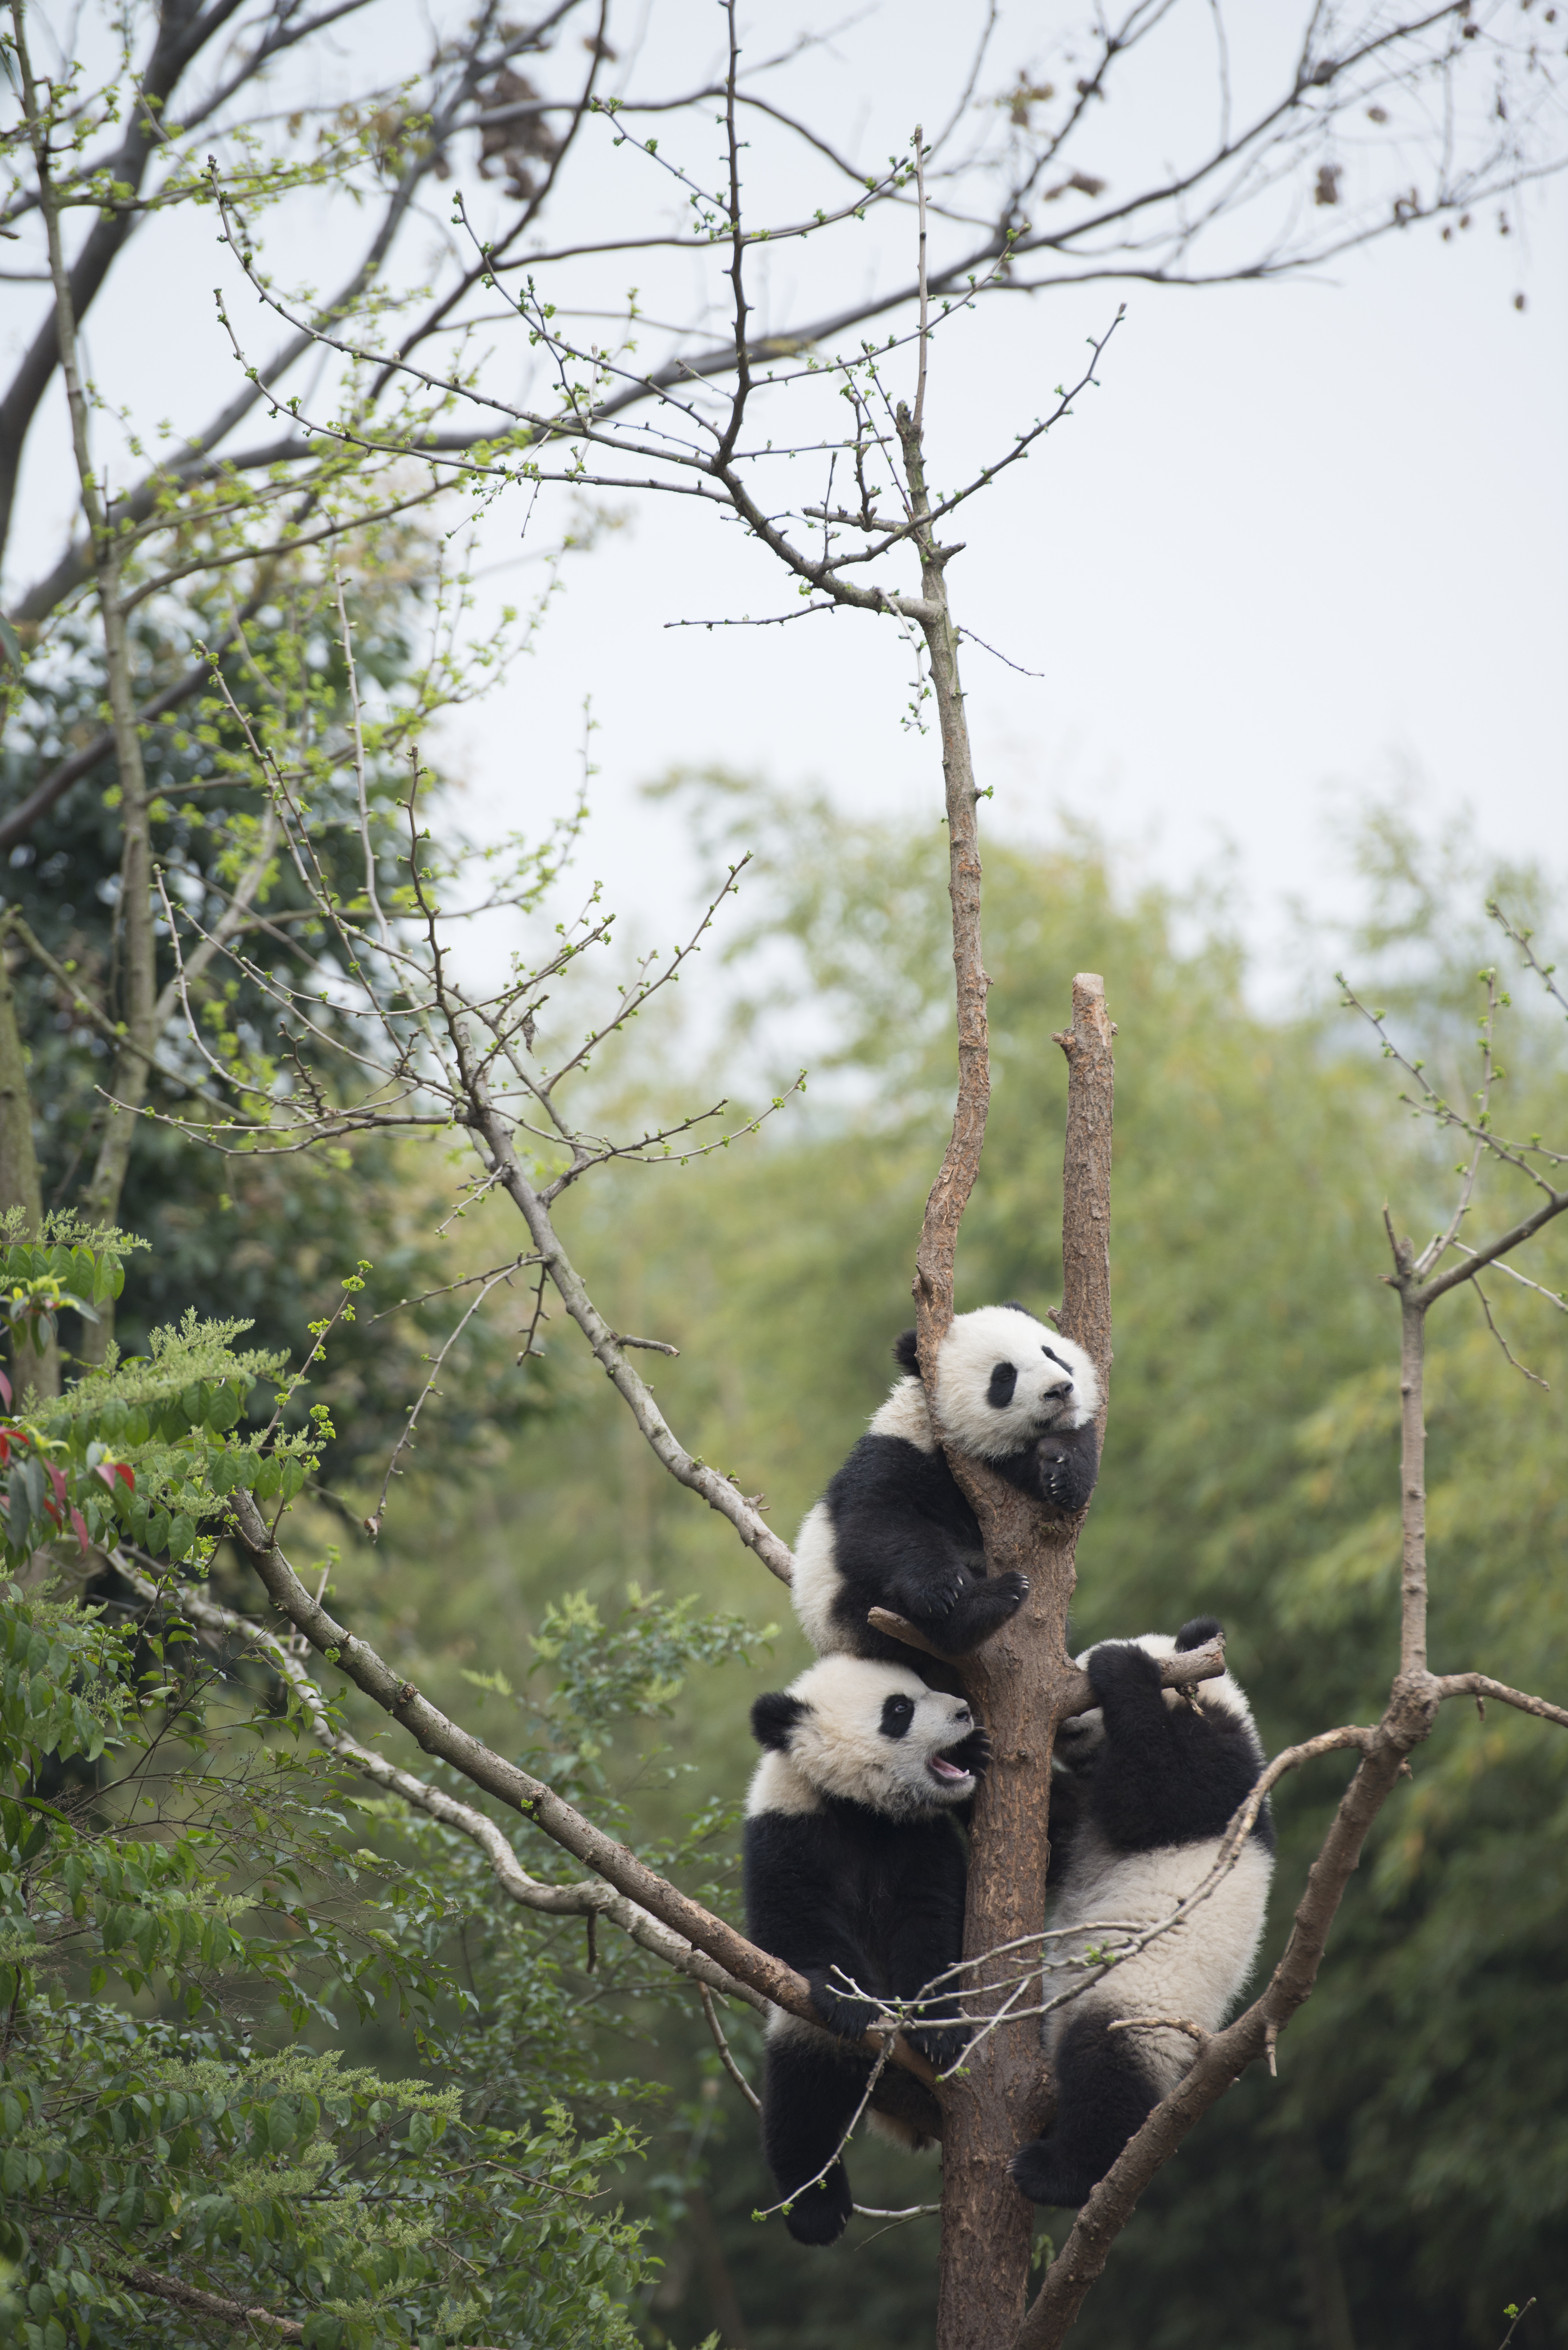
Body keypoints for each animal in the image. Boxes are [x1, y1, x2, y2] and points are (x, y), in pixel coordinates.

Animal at [744, 1654, 990, 2246]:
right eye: (898, 1710)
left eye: (927, 1686)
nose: (964, 1711)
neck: (860, 1807)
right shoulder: (787, 1825)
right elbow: (795, 1921)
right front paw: (853, 2001)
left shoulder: (919, 1836)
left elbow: (932, 1919)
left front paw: (937, 2030)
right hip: (806, 2036)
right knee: (800, 2104)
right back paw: (816, 2210)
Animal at [792, 1303, 1101, 1664]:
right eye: (1004, 1376)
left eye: (1051, 1353)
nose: (1060, 1389)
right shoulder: (898, 1452)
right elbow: (876, 1522)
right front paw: (942, 1588)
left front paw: (1065, 1475)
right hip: (846, 1608)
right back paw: (989, 1601)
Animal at [1010, 1616, 1274, 2210]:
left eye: (1081, 1683)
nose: (1064, 1730)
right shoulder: (1082, 1812)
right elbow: (1058, 1841)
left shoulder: (1228, 1774)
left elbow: (1156, 1796)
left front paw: (1122, 1667)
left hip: (1140, 2002)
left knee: (1106, 2067)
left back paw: (1061, 2174)